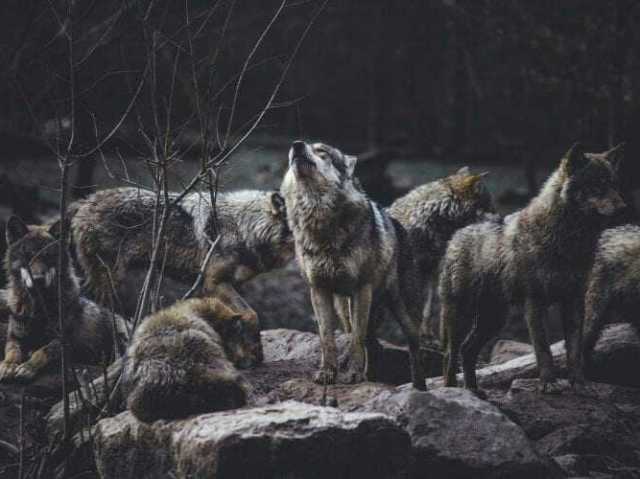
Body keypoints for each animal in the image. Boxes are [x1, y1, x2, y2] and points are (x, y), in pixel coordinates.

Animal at [0, 217, 130, 382]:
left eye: (48, 256)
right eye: (27, 256)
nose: (38, 279)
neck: (39, 309)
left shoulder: (65, 341)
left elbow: (42, 351)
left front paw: (28, 367)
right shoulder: (15, 337)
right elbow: (12, 351)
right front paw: (8, 365)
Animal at [282, 139, 428, 390]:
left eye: (322, 151)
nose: (297, 144)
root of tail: (398, 224)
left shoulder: (362, 288)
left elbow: (356, 340)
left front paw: (352, 374)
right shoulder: (318, 290)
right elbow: (327, 338)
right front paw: (328, 373)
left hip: (401, 311)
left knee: (411, 346)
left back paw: (419, 387)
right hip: (345, 308)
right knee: (370, 343)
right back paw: (367, 374)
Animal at [440, 143, 624, 398]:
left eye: (615, 184)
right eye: (597, 185)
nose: (624, 207)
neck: (568, 241)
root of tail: (459, 233)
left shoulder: (574, 302)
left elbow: (575, 352)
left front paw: (580, 384)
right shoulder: (535, 303)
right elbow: (543, 350)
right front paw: (548, 384)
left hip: (493, 320)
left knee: (468, 350)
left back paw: (474, 390)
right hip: (461, 316)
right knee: (451, 353)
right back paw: (453, 391)